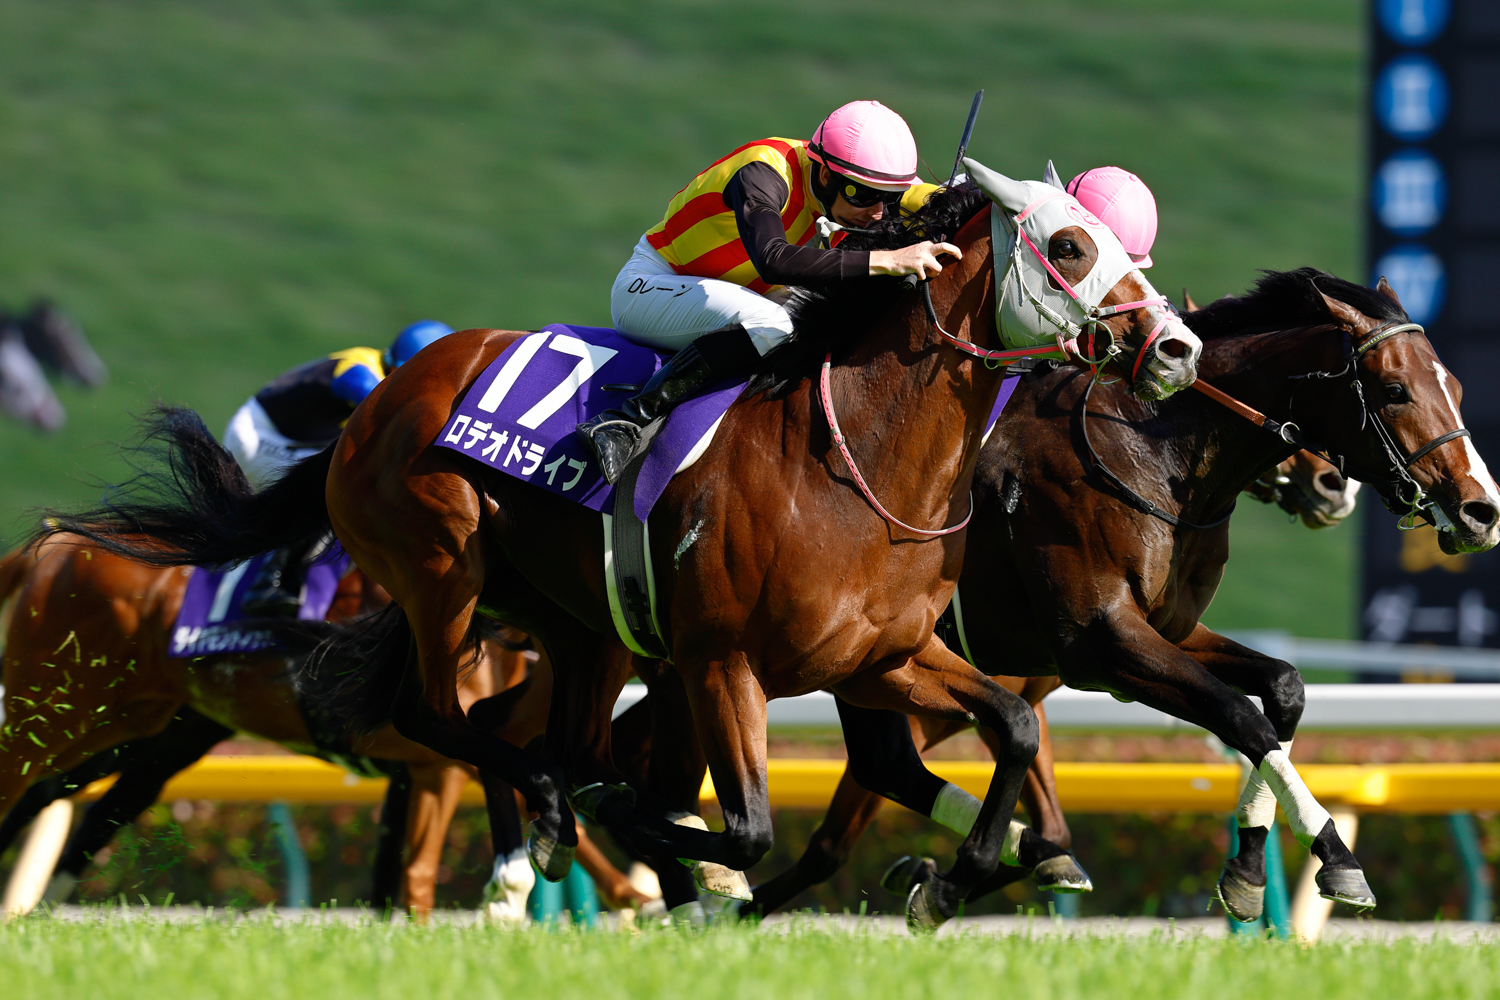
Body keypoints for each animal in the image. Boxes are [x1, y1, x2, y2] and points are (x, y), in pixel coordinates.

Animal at [37, 167, 1204, 925]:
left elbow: (1012, 725)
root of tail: (382, 399)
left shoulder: (881, 655)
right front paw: (687, 865)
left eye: (1132, 247)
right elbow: (741, 826)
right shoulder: (722, 660)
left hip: (577, 628)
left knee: (524, 729)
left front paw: (963, 872)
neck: (855, 464)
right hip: (441, 565)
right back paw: (559, 816)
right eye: (1070, 245)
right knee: (437, 715)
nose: (1176, 347)